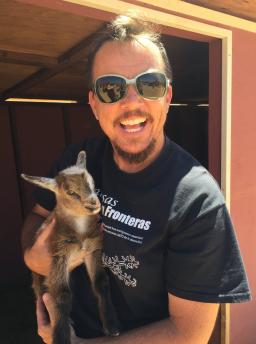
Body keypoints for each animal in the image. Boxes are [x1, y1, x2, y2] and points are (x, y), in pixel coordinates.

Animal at [21, 150, 119, 344]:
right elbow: (62, 296)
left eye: (92, 183)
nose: (93, 204)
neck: (80, 234)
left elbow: (101, 282)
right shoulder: (59, 255)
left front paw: (111, 327)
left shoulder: (92, 249)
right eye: (70, 192)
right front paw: (61, 337)